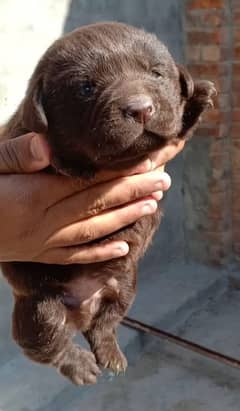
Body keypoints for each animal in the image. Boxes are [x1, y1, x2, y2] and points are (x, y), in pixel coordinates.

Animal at [0, 23, 216, 386]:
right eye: (86, 88)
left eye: (156, 73)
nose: (140, 108)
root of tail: (82, 310)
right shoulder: (19, 138)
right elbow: (45, 149)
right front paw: (64, 161)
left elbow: (177, 127)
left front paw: (200, 95)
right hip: (40, 305)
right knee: (46, 344)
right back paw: (82, 367)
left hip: (125, 284)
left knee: (104, 324)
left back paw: (111, 355)